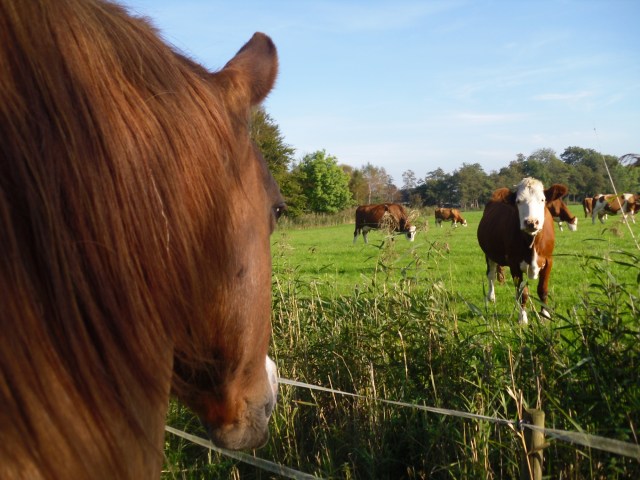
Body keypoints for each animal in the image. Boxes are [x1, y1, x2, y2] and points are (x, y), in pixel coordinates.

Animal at [477, 178, 568, 324]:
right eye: (518, 201)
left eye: (542, 200)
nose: (531, 222)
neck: (532, 243)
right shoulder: (514, 264)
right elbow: (522, 293)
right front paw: (523, 318)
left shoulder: (548, 260)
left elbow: (542, 289)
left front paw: (545, 315)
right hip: (489, 254)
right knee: (491, 274)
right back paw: (491, 297)